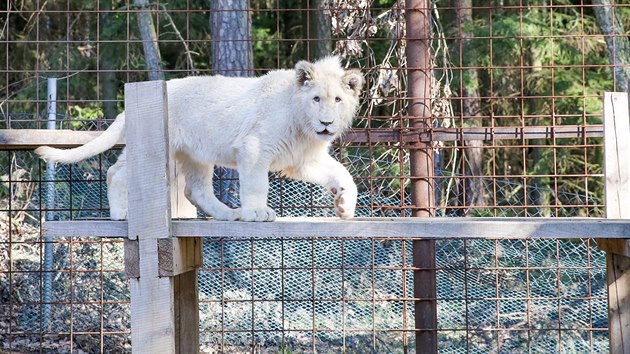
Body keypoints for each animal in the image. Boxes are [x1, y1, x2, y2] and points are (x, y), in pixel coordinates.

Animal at [37, 56, 366, 221]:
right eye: (315, 99)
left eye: (337, 99)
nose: (326, 123)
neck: (302, 126)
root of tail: (127, 110)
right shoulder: (255, 148)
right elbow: (257, 184)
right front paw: (257, 212)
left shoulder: (303, 158)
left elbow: (343, 173)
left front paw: (344, 205)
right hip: (155, 149)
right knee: (115, 172)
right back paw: (121, 214)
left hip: (196, 156)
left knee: (195, 191)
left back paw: (229, 215)